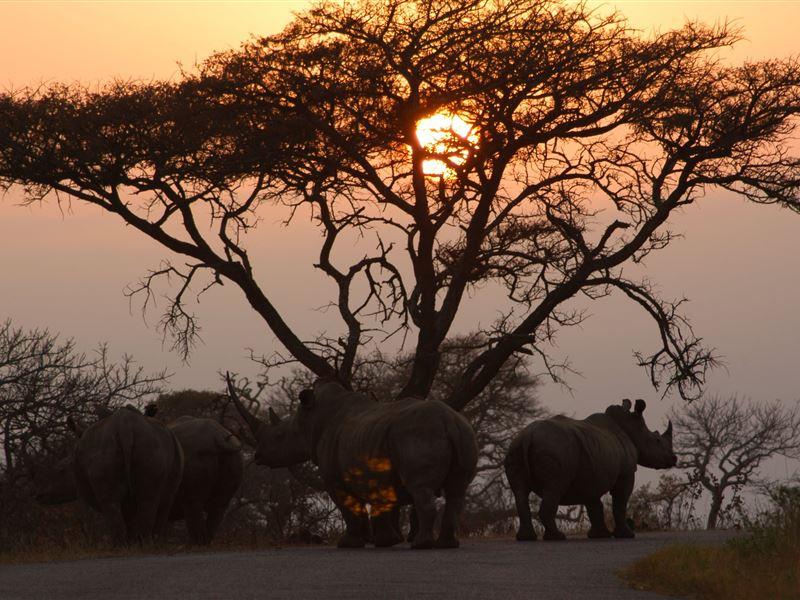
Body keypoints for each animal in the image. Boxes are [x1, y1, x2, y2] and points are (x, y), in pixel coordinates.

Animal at [35, 408, 183, 544]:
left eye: (61, 470)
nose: (40, 495)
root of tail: (125, 426)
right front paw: (134, 542)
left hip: (108, 449)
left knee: (111, 503)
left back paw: (122, 545)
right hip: (150, 446)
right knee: (148, 500)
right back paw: (145, 543)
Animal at [166, 414, 244, 548]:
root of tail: (218, 436)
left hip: (194, 459)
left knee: (192, 504)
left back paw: (192, 546)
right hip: (235, 460)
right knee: (219, 506)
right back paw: (204, 544)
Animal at [227, 378, 476, 552]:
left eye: (279, 436)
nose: (258, 456)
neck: (311, 420)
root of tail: (450, 422)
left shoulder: (334, 479)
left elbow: (348, 508)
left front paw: (348, 544)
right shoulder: (378, 470)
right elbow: (383, 504)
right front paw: (386, 542)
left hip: (418, 435)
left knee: (420, 489)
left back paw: (421, 545)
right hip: (464, 433)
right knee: (457, 491)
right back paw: (446, 545)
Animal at [506, 396, 676, 540]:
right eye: (657, 440)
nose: (674, 458)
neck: (630, 427)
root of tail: (528, 436)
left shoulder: (592, 469)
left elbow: (594, 505)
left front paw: (599, 535)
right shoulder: (626, 472)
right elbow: (620, 502)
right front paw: (627, 535)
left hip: (514, 448)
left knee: (520, 492)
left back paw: (526, 538)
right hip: (554, 448)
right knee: (554, 488)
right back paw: (558, 537)